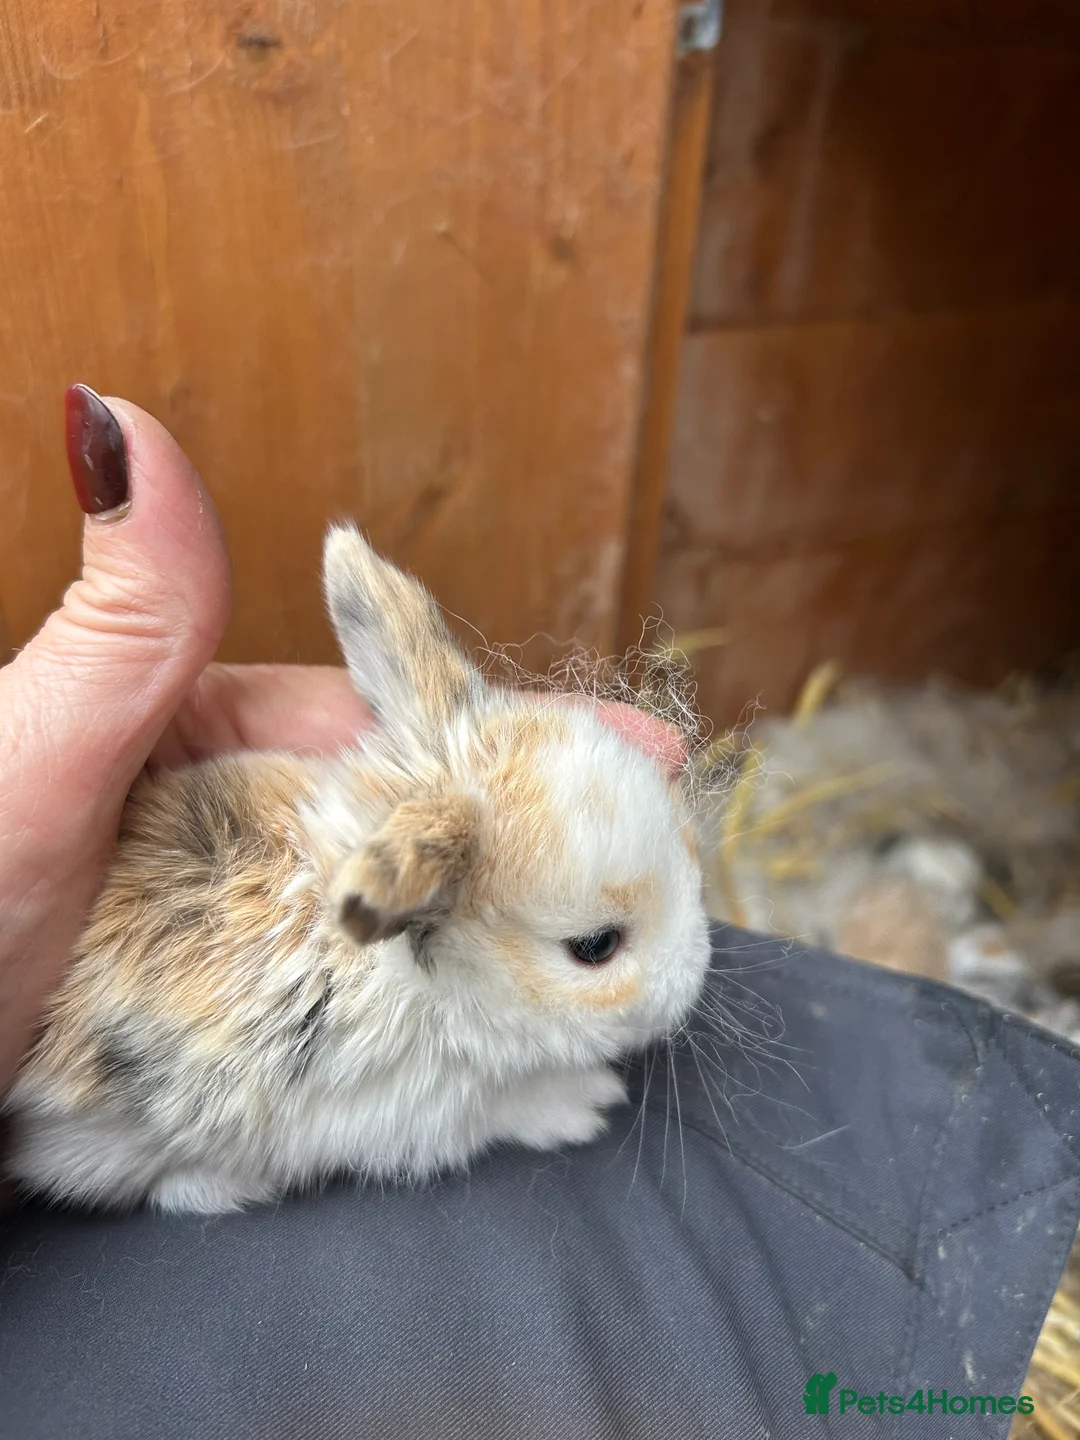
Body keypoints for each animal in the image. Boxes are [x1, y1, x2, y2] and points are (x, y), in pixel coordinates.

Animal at [3, 526, 713, 1214]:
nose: (695, 977)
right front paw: (589, 1102)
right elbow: (509, 1107)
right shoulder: (418, 1111)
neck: (423, 978)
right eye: (595, 947)